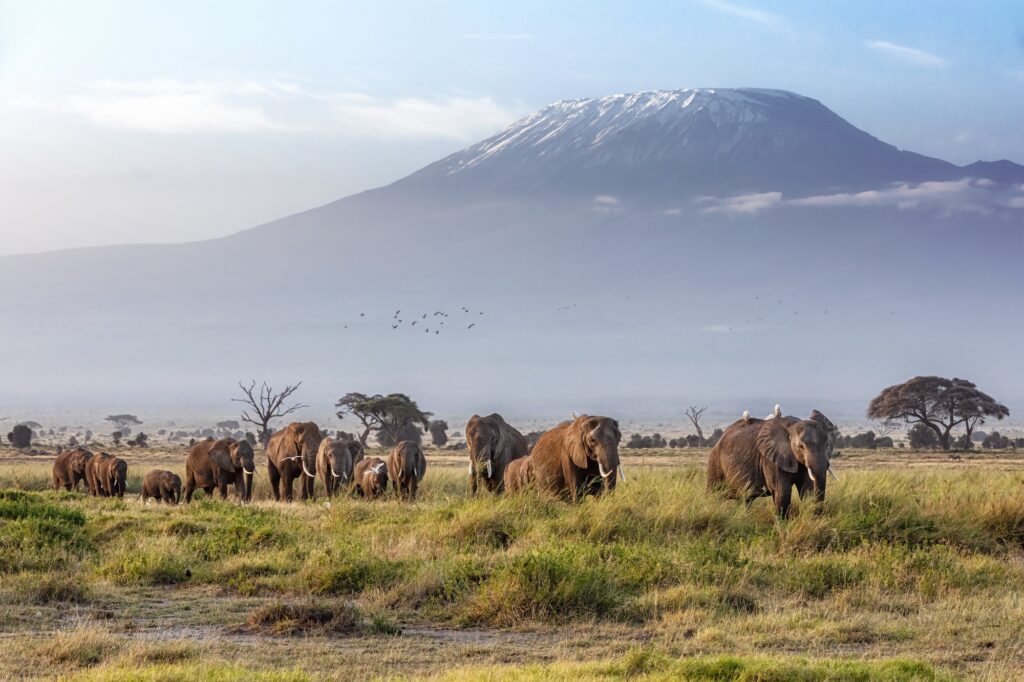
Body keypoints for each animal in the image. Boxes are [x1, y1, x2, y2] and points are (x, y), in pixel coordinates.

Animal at [706, 408, 838, 517]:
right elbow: (782, 493)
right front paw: (782, 526)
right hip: (715, 462)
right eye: (800, 446)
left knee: (745, 499)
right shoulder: (771, 459)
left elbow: (807, 490)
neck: (791, 426)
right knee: (714, 495)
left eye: (827, 444)